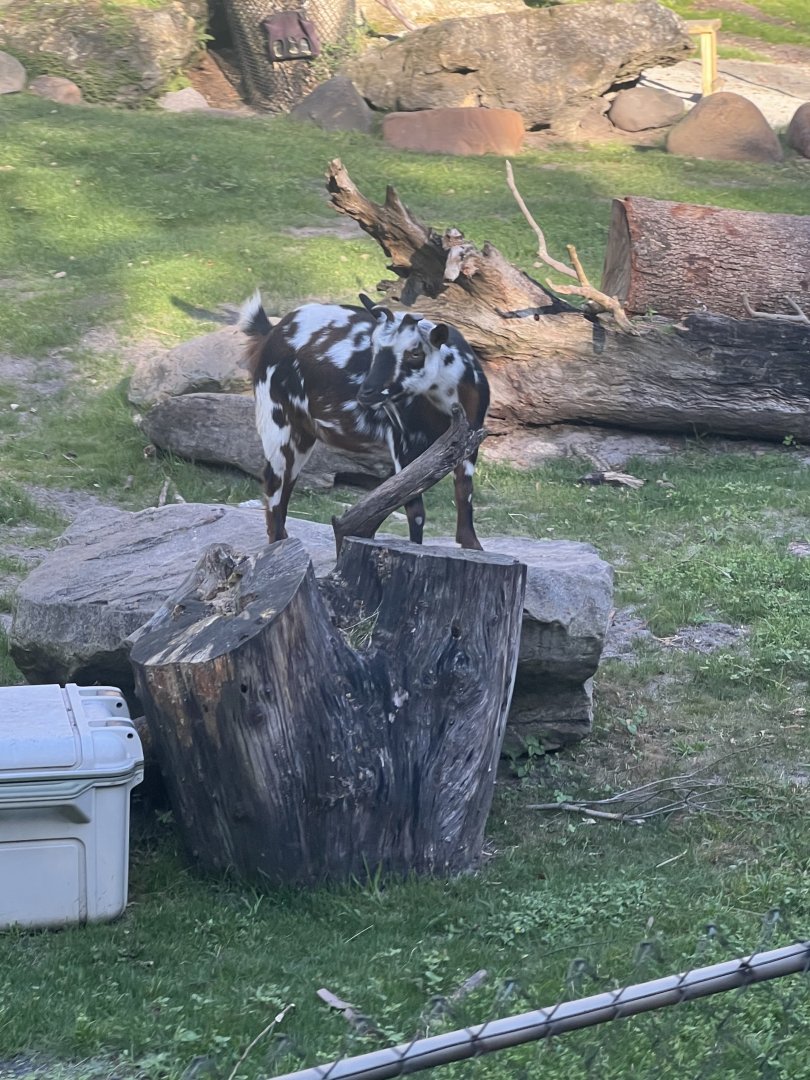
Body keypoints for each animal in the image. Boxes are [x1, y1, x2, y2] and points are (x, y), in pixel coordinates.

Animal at [239, 292, 489, 550]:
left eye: (415, 352)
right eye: (374, 346)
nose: (367, 392)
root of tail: (273, 330)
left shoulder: (468, 438)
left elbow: (464, 492)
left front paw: (473, 546)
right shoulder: (403, 442)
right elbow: (415, 509)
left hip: (302, 434)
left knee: (286, 483)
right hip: (277, 421)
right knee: (274, 482)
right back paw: (277, 544)